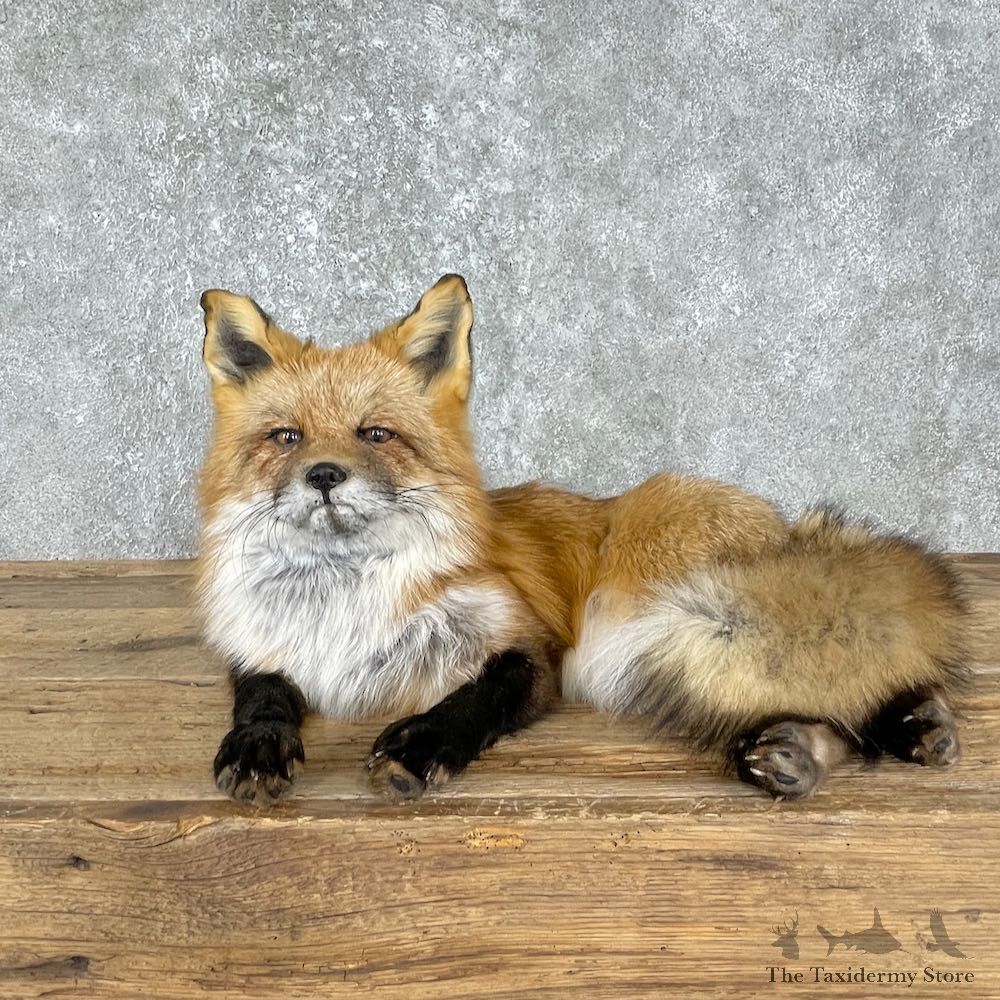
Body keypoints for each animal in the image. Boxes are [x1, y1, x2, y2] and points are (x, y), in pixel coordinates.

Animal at [197, 274, 968, 806]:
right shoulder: (260, 646)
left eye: (376, 434)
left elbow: (474, 697)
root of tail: (785, 526)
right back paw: (860, 739)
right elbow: (262, 695)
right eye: (286, 438)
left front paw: (422, 743)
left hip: (642, 634)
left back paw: (881, 731)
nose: (324, 476)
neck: (342, 606)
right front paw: (257, 747)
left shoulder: (532, 645)